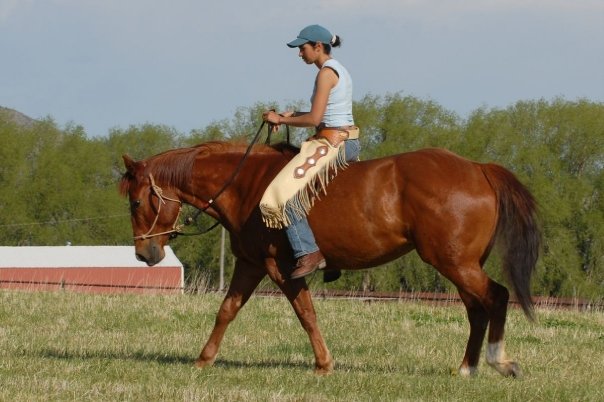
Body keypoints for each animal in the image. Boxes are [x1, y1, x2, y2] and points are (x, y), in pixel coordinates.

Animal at [120, 141, 540, 376]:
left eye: (137, 202)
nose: (144, 252)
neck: (245, 184)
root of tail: (478, 169)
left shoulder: (279, 268)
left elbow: (306, 313)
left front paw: (324, 364)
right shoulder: (250, 264)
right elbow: (227, 310)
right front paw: (203, 360)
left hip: (455, 263)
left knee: (497, 297)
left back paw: (498, 361)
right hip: (460, 264)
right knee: (477, 309)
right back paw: (467, 368)